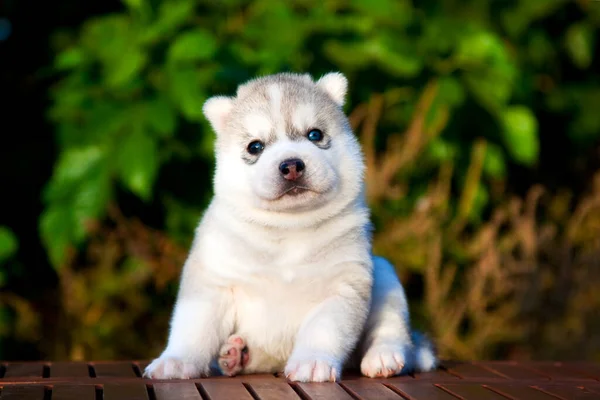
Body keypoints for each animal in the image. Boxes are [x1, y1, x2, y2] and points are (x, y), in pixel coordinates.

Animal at [144, 71, 436, 382]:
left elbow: (323, 330)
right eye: (255, 146)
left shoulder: (342, 285)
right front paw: (175, 361)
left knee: (394, 332)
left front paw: (312, 362)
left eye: (314, 134)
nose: (292, 165)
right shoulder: (214, 279)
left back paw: (384, 356)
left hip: (385, 275)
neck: (288, 228)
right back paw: (235, 355)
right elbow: (193, 328)